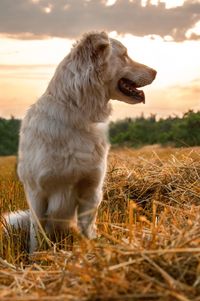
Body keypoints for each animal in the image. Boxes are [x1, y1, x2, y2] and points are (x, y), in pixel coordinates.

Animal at [3, 31, 155, 251]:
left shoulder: (91, 190)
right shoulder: (36, 194)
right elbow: (37, 237)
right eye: (125, 55)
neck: (76, 111)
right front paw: (37, 257)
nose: (156, 71)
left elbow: (87, 229)